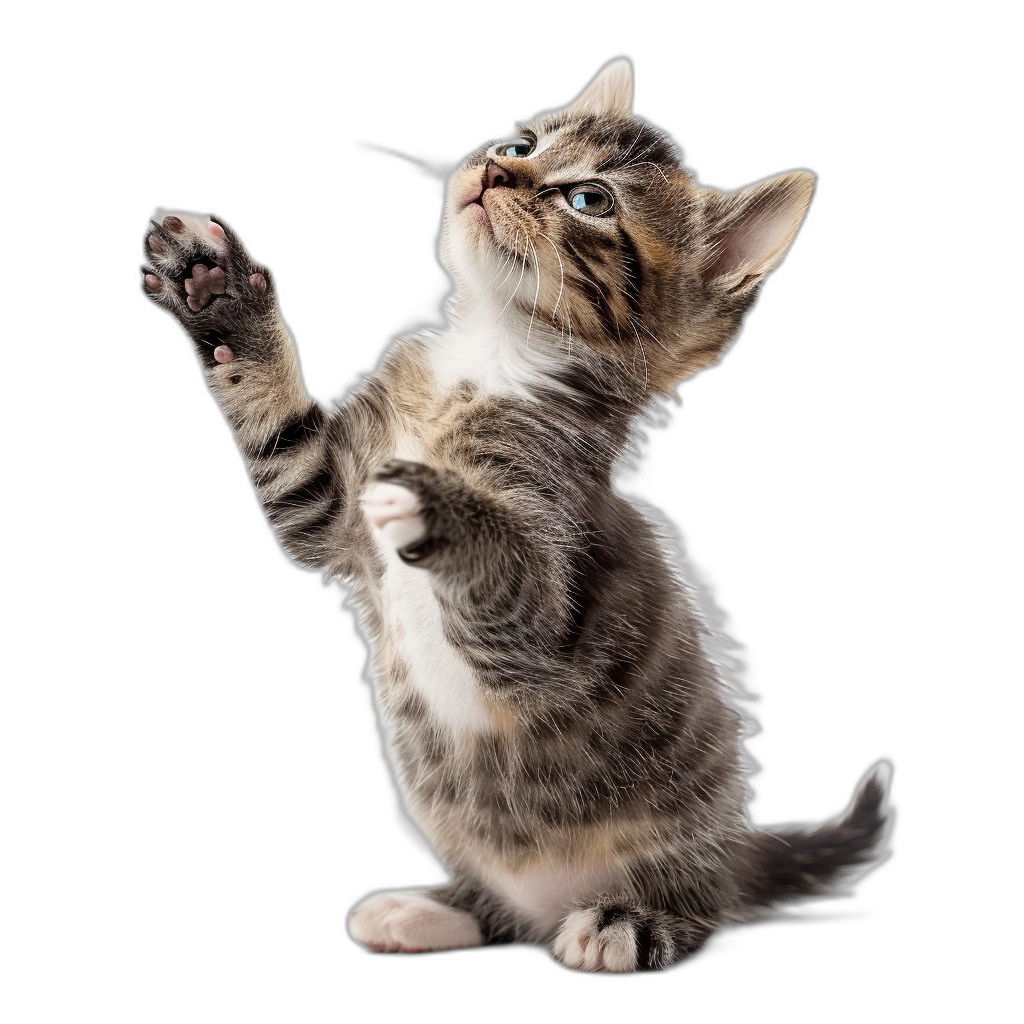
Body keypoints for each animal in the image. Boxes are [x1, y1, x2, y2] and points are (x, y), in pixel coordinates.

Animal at [140, 58, 892, 974]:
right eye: (523, 143)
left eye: (591, 200)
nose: (497, 170)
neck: (488, 358)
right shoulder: (322, 507)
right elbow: (276, 430)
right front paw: (218, 297)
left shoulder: (543, 615)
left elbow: (509, 574)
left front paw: (436, 499)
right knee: (501, 916)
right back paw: (432, 913)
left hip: (687, 842)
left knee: (698, 898)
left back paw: (626, 922)